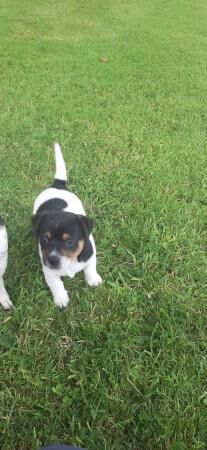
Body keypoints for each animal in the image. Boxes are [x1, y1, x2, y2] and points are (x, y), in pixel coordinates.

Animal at [31, 144, 102, 310]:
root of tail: (57, 185)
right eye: (45, 239)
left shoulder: (90, 254)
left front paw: (93, 280)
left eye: (69, 242)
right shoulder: (49, 271)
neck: (70, 262)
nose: (52, 260)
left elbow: (91, 267)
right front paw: (61, 299)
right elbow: (56, 284)